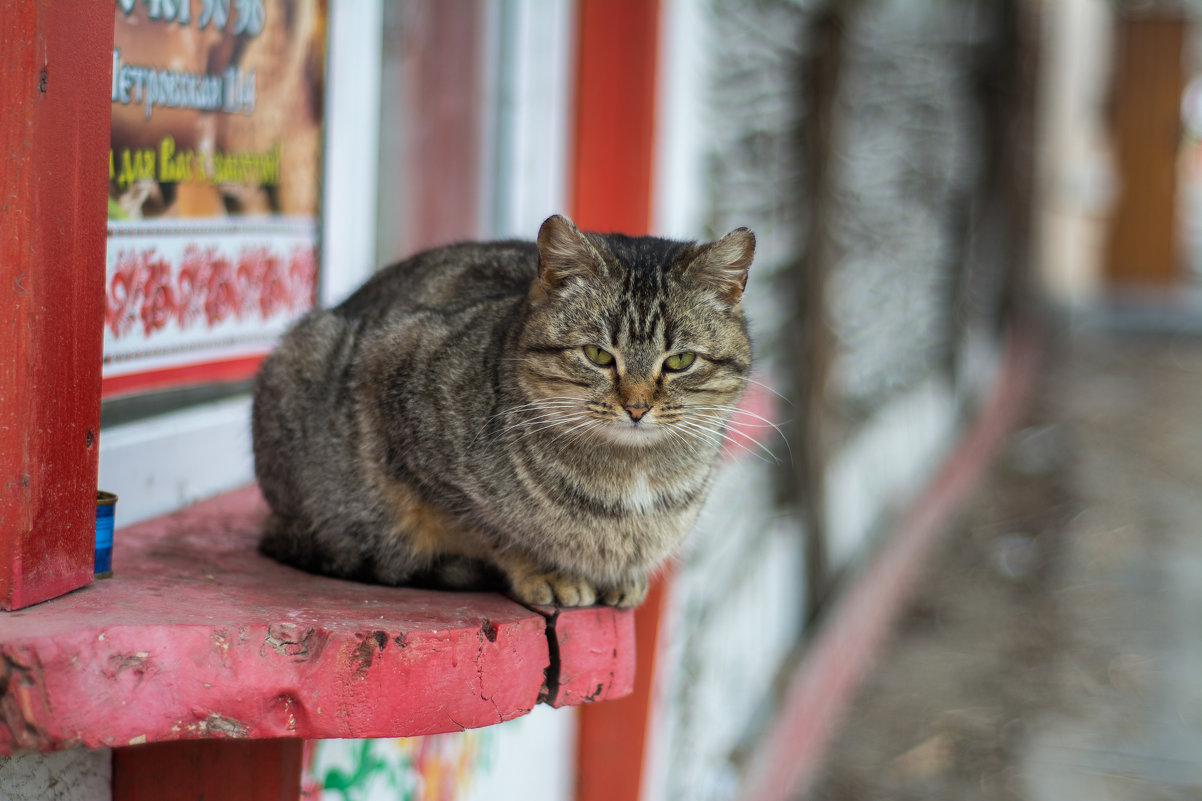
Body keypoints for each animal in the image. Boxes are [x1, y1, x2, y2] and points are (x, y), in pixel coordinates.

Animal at [252, 211, 750, 606]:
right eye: (598, 355)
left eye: (680, 361)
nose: (638, 407)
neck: (631, 480)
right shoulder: (419, 447)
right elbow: (494, 532)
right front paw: (544, 569)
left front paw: (622, 578)